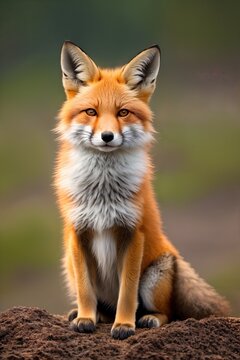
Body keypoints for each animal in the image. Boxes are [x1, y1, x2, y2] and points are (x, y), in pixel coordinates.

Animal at [54, 40, 229, 338]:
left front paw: (124, 325)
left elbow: (127, 292)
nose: (107, 137)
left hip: (154, 276)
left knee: (166, 313)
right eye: (91, 112)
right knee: (100, 303)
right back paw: (92, 314)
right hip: (68, 264)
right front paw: (86, 318)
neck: (103, 192)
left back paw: (147, 319)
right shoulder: (77, 232)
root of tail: (175, 259)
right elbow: (86, 291)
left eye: (123, 112)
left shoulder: (133, 233)